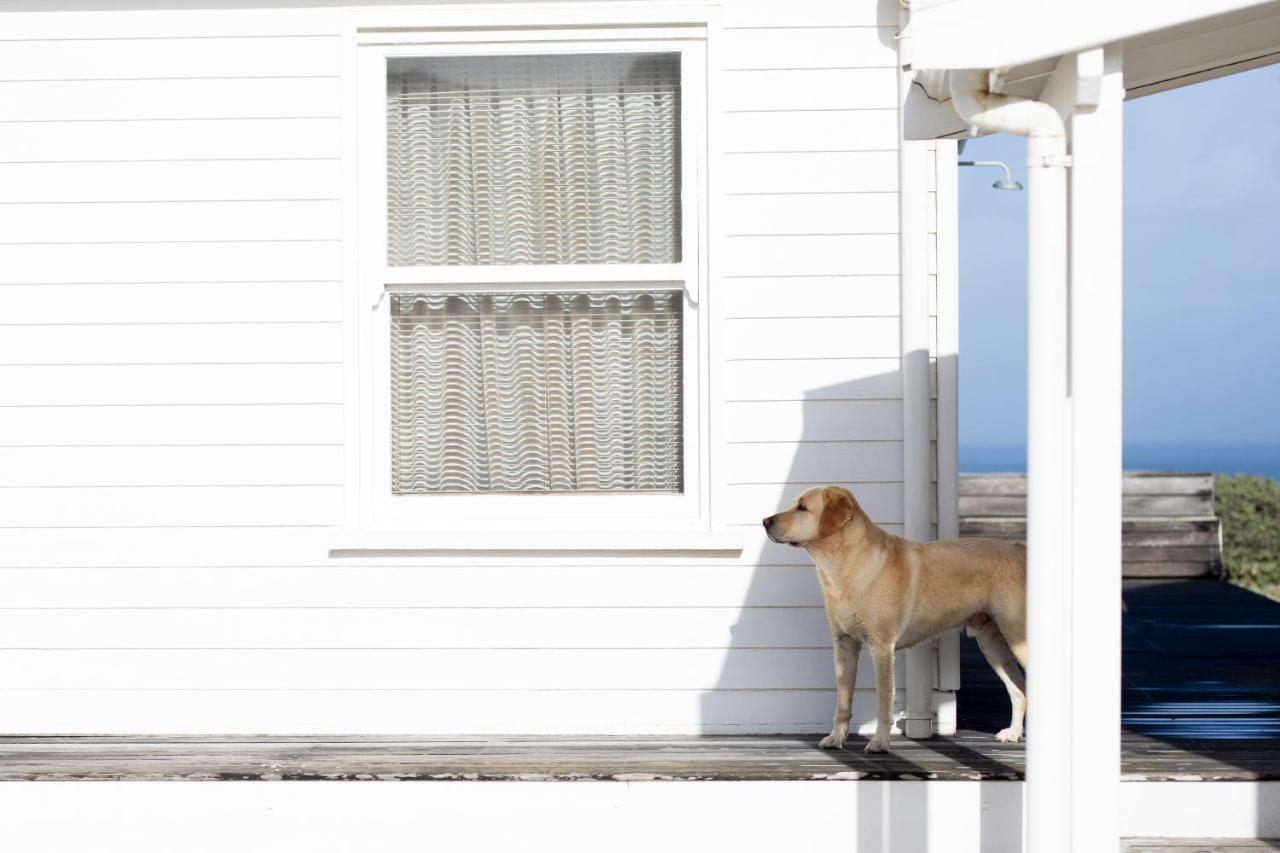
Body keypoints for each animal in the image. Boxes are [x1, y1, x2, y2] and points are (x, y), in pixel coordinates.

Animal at [757, 484, 1029, 753]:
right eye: (793, 504)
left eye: (803, 507)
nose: (764, 521)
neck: (845, 566)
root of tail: (1020, 549)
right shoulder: (844, 644)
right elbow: (842, 703)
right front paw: (836, 738)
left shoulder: (882, 647)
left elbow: (883, 702)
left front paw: (879, 743)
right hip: (992, 643)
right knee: (1019, 692)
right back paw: (1013, 733)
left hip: (1017, 638)